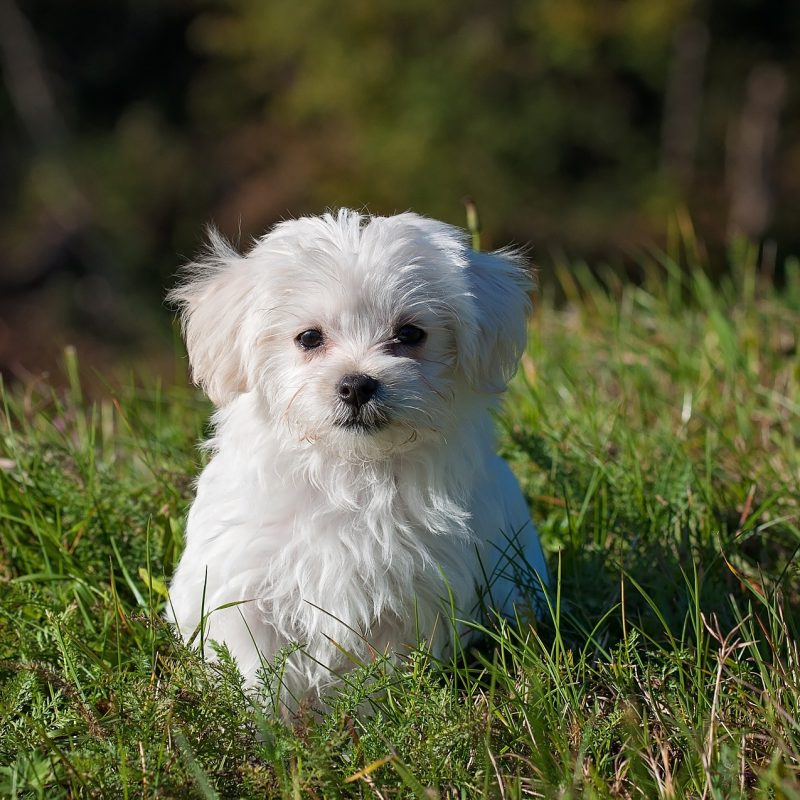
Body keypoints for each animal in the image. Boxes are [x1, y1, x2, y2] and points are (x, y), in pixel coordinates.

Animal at [166, 209, 548, 708]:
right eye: (309, 338)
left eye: (410, 334)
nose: (356, 384)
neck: (350, 471)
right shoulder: (243, 587)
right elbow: (255, 671)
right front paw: (265, 724)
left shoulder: (410, 599)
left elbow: (379, 674)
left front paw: (371, 716)